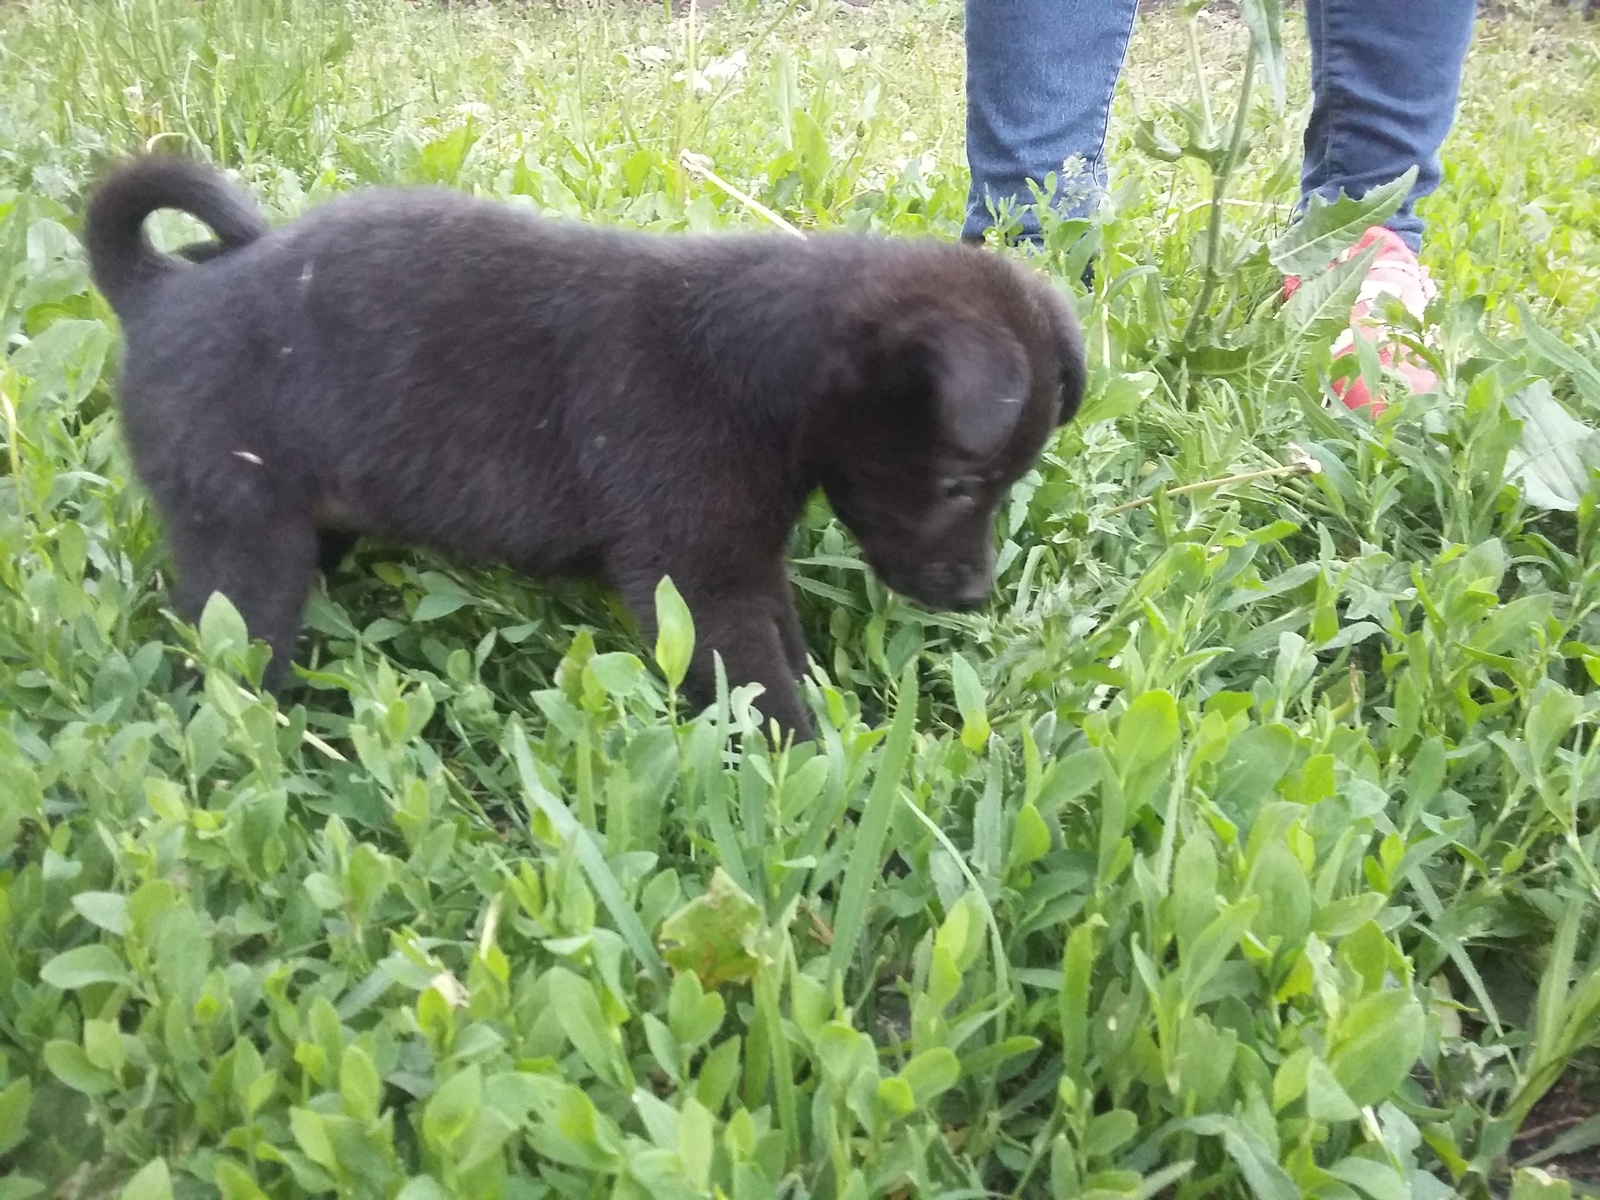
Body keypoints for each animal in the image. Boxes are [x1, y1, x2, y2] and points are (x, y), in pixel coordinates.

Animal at [87, 155, 1088, 739]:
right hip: (243, 540)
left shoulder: (743, 563)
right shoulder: (696, 579)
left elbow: (785, 645)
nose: (978, 593)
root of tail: (159, 292)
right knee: (226, 647)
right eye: (961, 482)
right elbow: (758, 685)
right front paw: (811, 770)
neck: (764, 370)